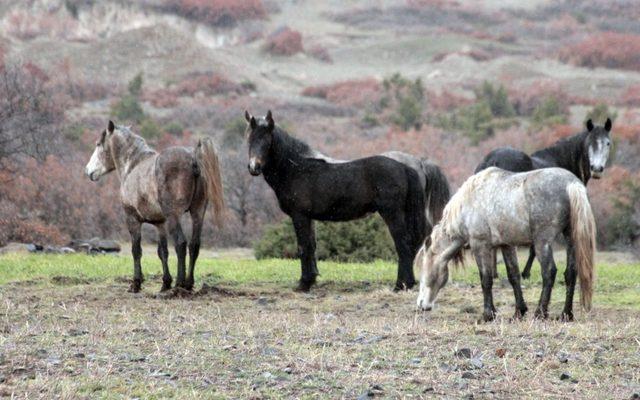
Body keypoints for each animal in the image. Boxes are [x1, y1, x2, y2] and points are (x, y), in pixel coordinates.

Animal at [85, 120, 225, 292]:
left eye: (98, 144)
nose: (88, 170)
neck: (133, 165)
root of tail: (193, 159)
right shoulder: (160, 224)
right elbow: (162, 252)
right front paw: (165, 283)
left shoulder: (132, 219)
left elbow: (136, 250)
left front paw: (136, 283)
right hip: (198, 213)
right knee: (194, 245)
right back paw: (188, 283)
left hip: (174, 216)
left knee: (181, 243)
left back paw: (179, 284)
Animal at [245, 109, 450, 290]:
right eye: (249, 139)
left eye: (267, 141)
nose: (254, 167)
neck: (296, 169)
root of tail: (407, 167)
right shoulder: (309, 218)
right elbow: (312, 246)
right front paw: (311, 280)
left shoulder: (299, 216)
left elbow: (303, 247)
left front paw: (303, 284)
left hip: (392, 214)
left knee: (403, 243)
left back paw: (401, 285)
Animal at [416, 166, 596, 322]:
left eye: (424, 269)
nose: (421, 304)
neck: (469, 202)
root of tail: (571, 184)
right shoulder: (506, 245)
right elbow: (513, 276)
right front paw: (519, 312)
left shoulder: (480, 245)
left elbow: (486, 279)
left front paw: (488, 314)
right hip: (570, 239)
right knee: (570, 273)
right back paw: (566, 314)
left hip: (542, 242)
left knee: (549, 272)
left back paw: (540, 313)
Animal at [478, 120, 612, 280]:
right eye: (590, 143)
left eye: (608, 143)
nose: (597, 169)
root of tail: (492, 160)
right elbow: (534, 248)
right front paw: (526, 272)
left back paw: (493, 272)